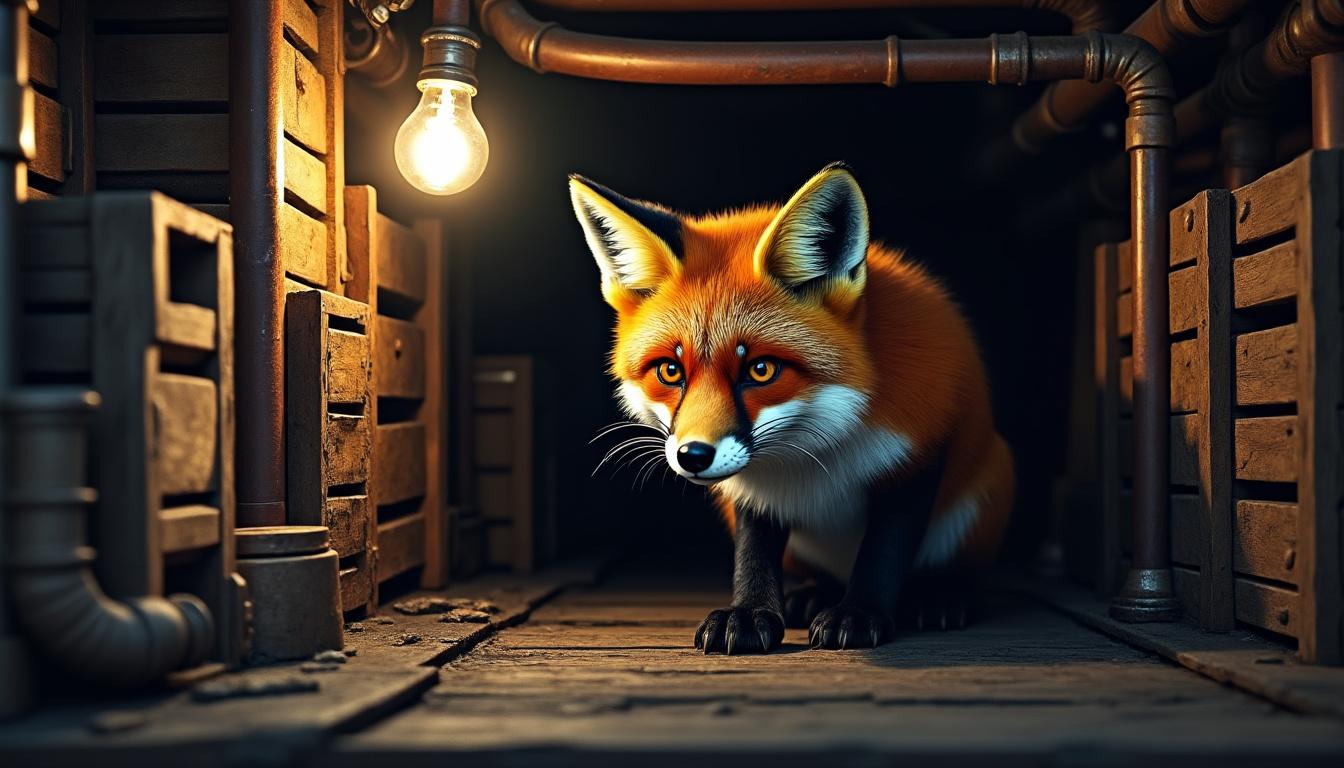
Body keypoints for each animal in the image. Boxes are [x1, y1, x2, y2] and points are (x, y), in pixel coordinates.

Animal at [571, 163, 1014, 654]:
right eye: (670, 371)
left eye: (761, 369)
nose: (693, 455)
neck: (816, 452)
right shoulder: (753, 491)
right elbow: (754, 553)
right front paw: (749, 614)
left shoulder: (919, 454)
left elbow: (884, 551)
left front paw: (860, 612)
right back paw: (814, 594)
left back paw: (939, 594)